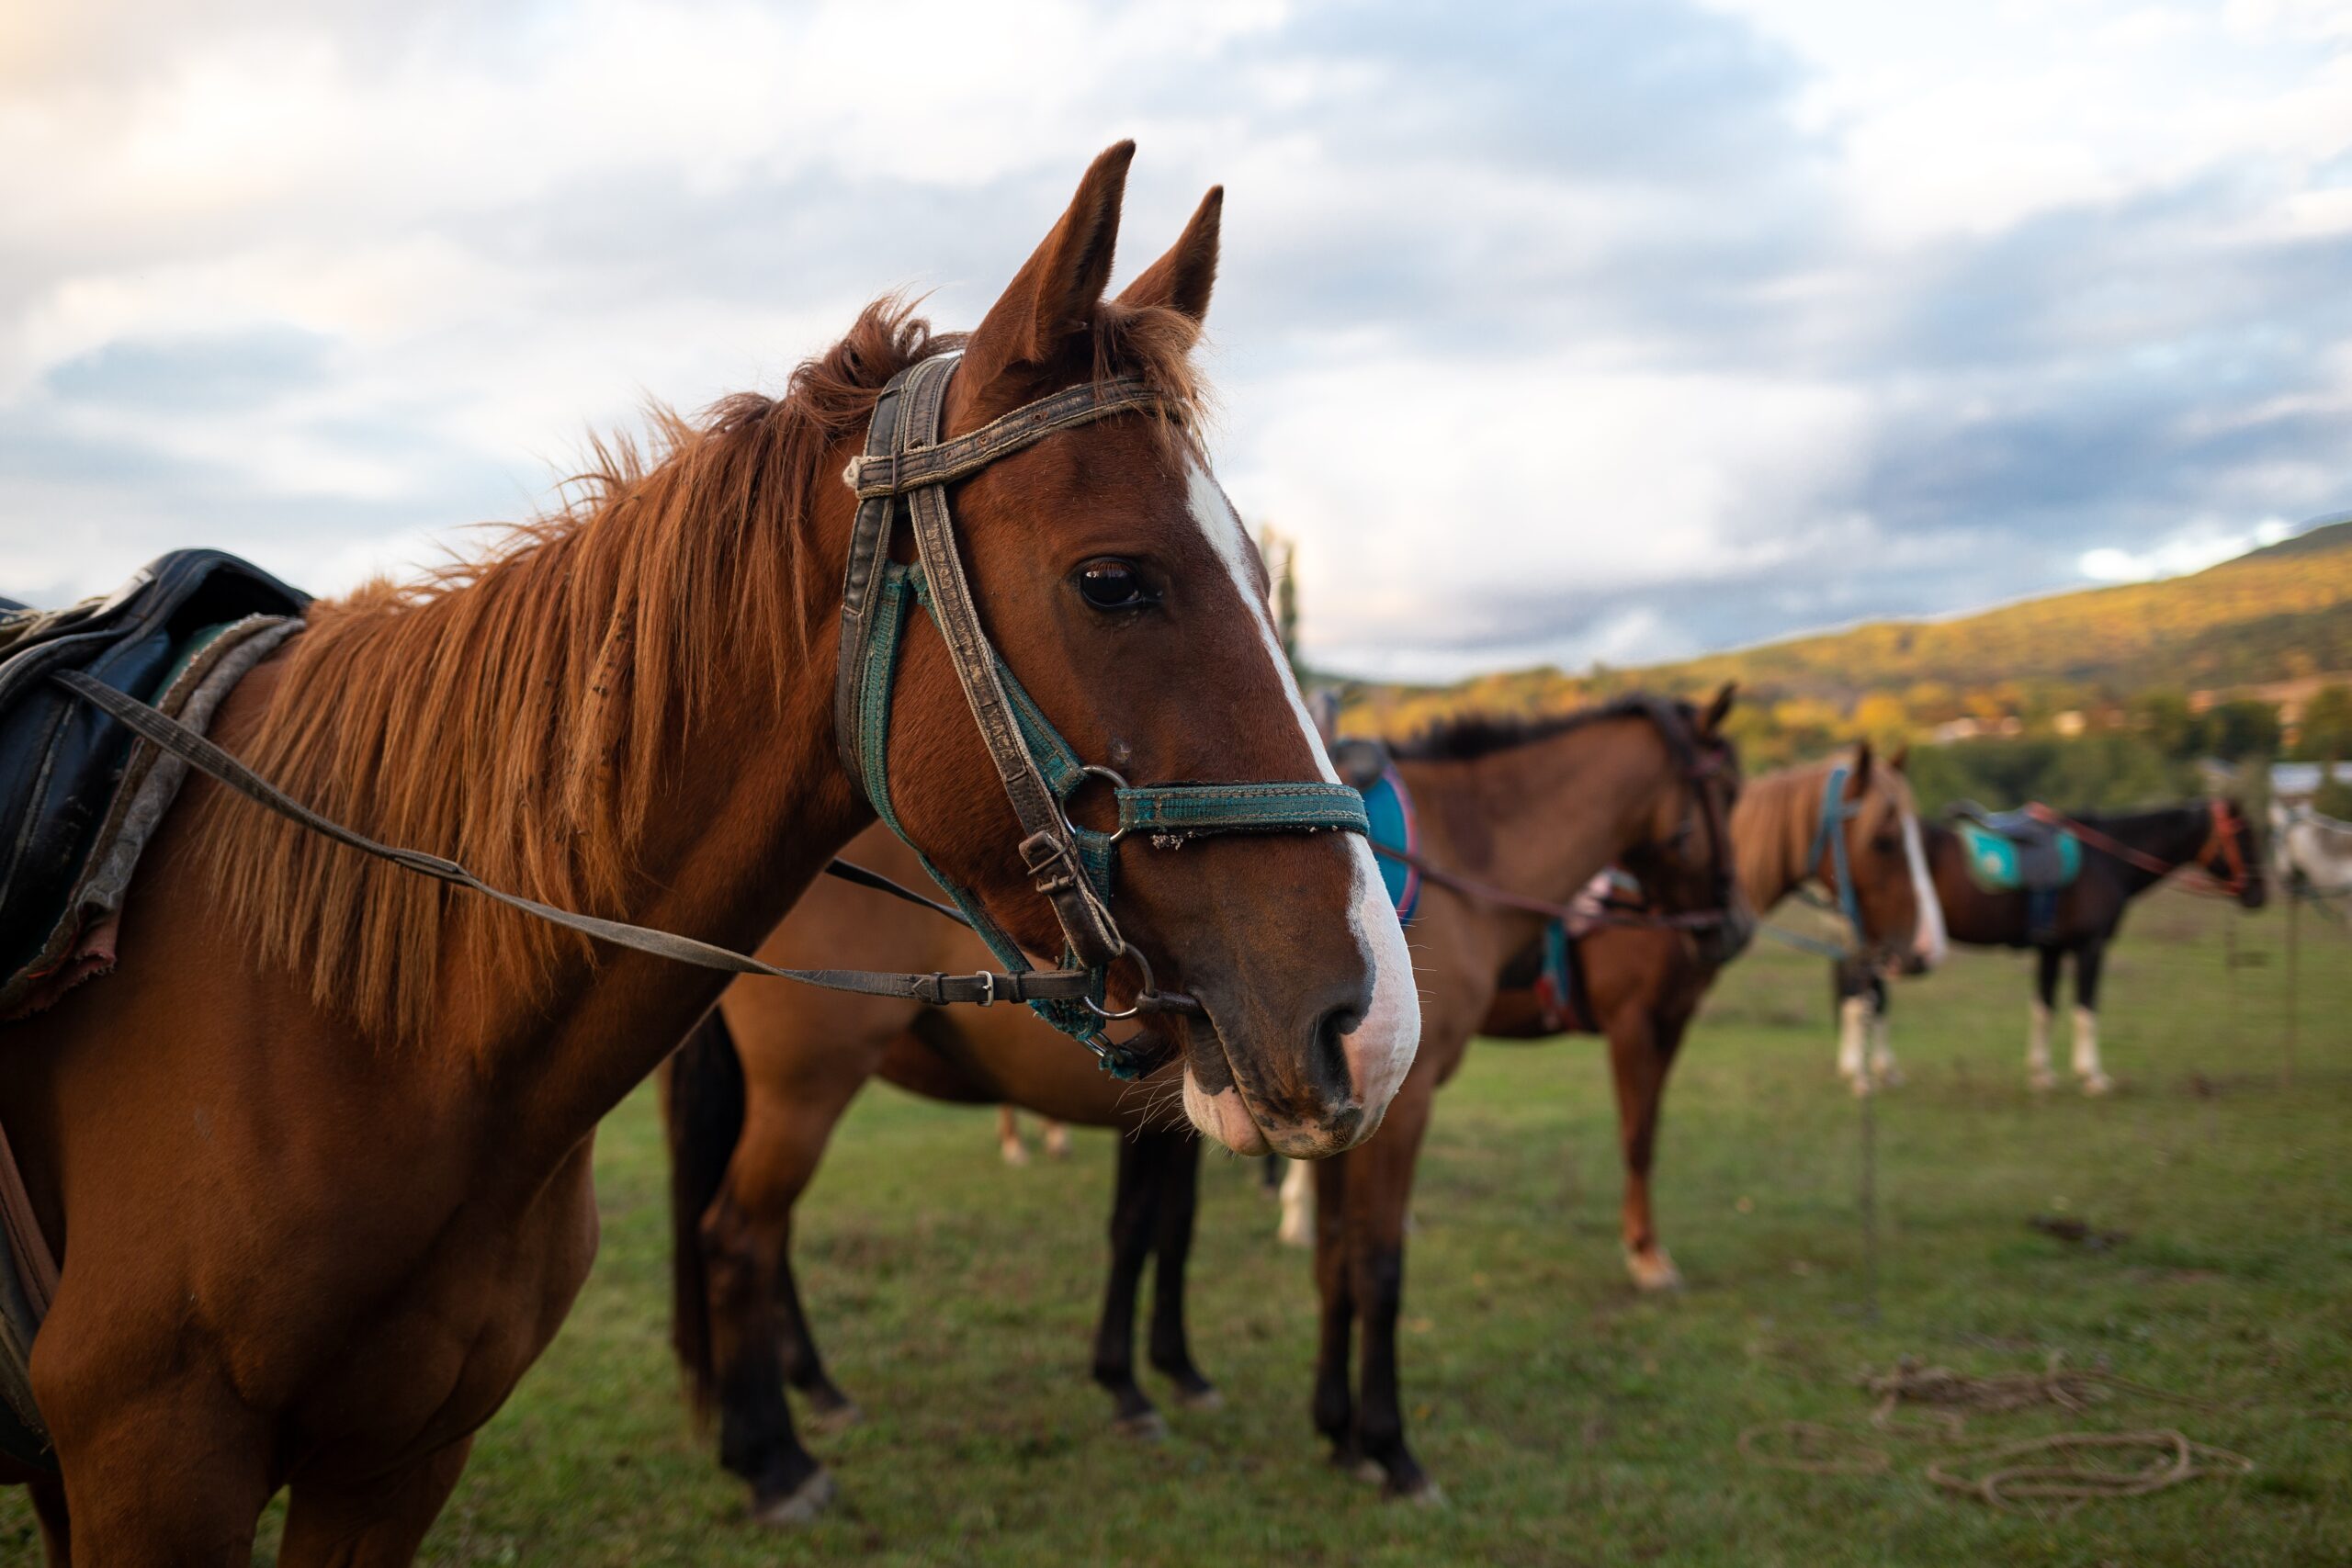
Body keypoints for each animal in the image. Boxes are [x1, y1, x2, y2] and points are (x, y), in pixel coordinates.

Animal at [673, 691, 1740, 1523]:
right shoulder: (1395, 1116)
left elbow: (1307, 1259)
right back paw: (776, 1460)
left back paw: (808, 1394)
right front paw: (1389, 1449)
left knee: (762, 1239)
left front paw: (1324, 1427)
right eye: (1727, 791)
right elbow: (1372, 1269)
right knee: (740, 1236)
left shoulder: (1321, 1119)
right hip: (808, 1087)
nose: (1729, 927)